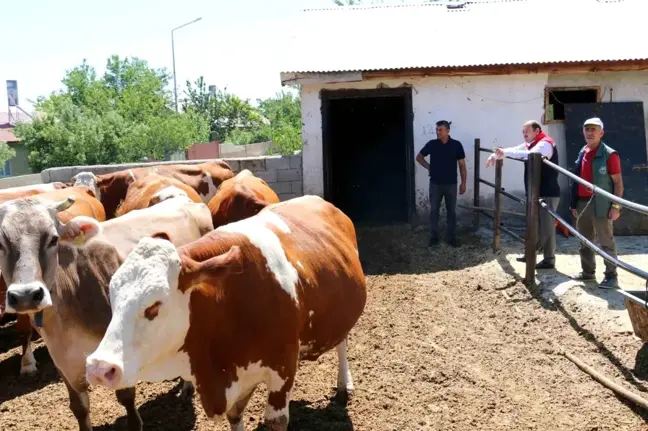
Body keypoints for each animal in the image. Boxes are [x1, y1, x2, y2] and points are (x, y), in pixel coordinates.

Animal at [0, 194, 214, 430]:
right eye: (0, 243)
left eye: (54, 239)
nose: (26, 295)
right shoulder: (63, 362)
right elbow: (79, 407)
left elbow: (126, 397)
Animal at [84, 197, 368, 431]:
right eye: (113, 297)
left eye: (154, 305)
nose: (99, 368)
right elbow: (235, 417)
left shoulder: (283, 369)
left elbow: (276, 420)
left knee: (342, 343)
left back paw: (344, 385)